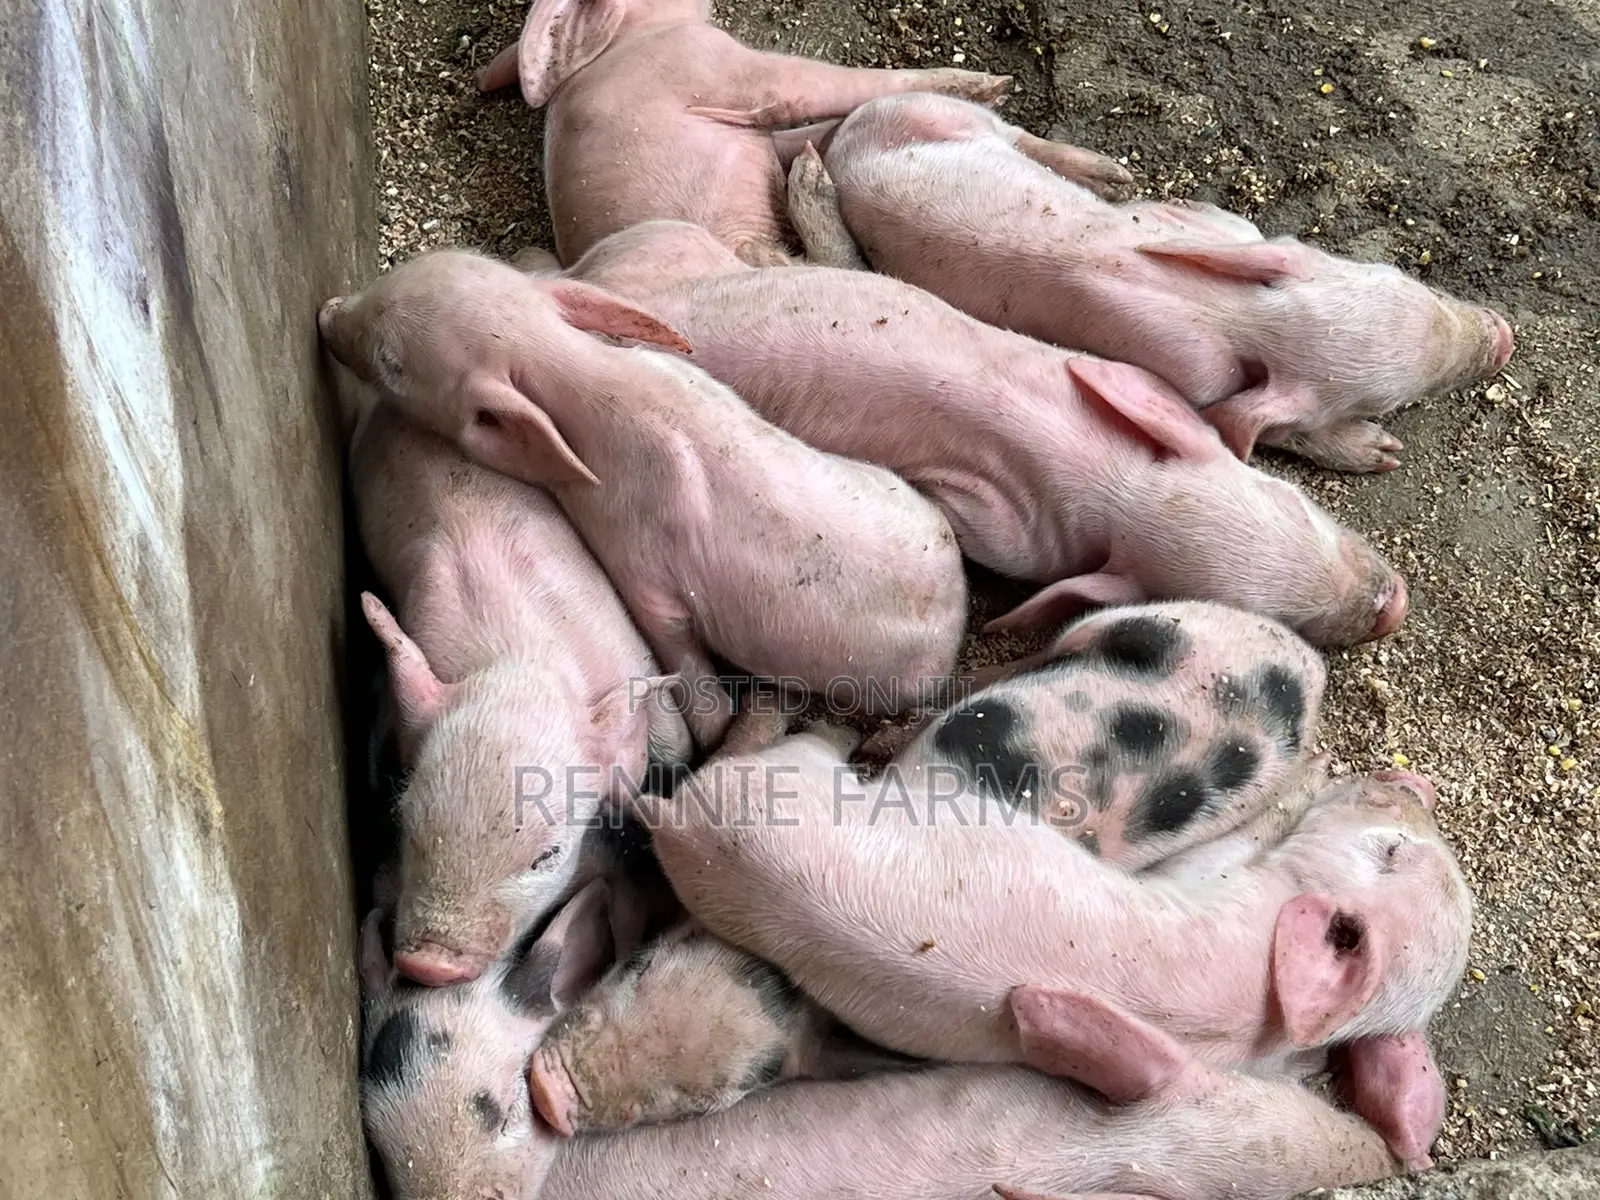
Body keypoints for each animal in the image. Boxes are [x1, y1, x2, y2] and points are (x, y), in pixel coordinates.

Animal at [472, 0, 1021, 266]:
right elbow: (815, 88)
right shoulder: (719, 67)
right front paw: (995, 85)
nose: (1004, 82)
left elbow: (798, 133)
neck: (637, 35)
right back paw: (811, 183)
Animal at [561, 219, 1408, 648]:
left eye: (1297, 506)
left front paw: (1383, 454)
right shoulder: (1005, 530)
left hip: (661, 245)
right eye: (1268, 620)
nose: (1393, 606)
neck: (1105, 473)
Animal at [643, 721, 1473, 1088]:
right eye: (1399, 850)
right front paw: (1320, 767)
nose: (1410, 784)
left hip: (779, 783)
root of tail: (678, 816)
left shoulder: (1210, 877)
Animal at [776, 93, 1515, 473]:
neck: (1229, 315)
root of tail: (843, 136)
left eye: (1398, 275)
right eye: (1390, 400)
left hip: (934, 111)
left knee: (1014, 133)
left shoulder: (1232, 230)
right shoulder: (1189, 382)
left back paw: (1113, 176)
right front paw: (1384, 455)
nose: (1505, 335)